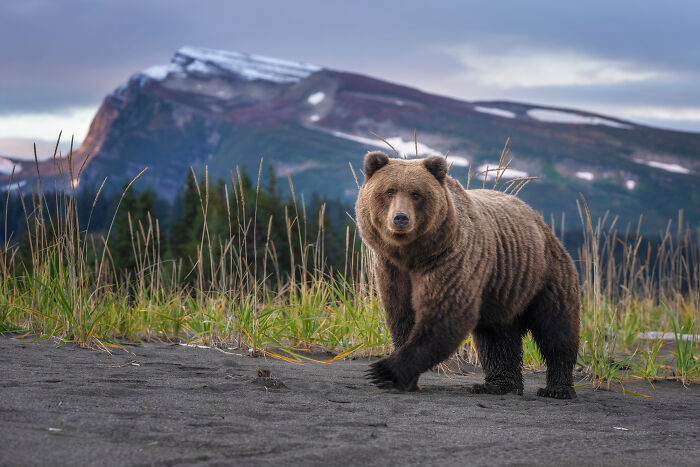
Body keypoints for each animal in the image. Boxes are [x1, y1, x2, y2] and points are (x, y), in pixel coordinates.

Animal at [355, 151, 580, 399]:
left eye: (416, 193)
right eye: (389, 191)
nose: (400, 218)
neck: (413, 255)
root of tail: (542, 223)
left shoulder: (450, 260)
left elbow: (445, 314)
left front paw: (384, 372)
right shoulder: (392, 271)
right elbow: (403, 316)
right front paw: (404, 379)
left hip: (544, 276)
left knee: (555, 331)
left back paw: (557, 388)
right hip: (502, 288)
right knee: (497, 339)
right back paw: (498, 385)